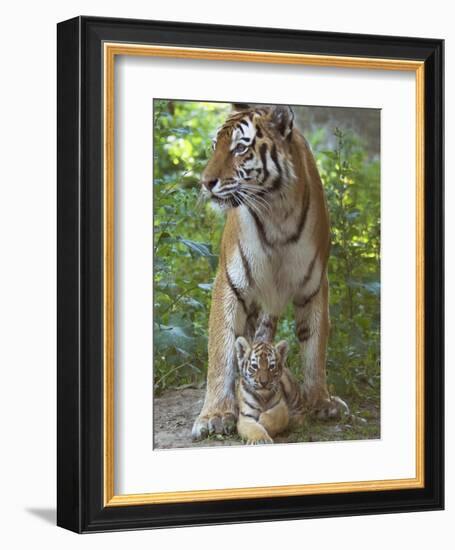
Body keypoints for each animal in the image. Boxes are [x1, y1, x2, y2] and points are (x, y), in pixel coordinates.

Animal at [192, 102, 350, 440]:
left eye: (240, 148)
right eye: (214, 147)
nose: (205, 182)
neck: (277, 212)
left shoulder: (314, 285)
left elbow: (315, 346)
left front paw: (321, 401)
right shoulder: (230, 282)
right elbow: (221, 349)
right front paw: (215, 415)